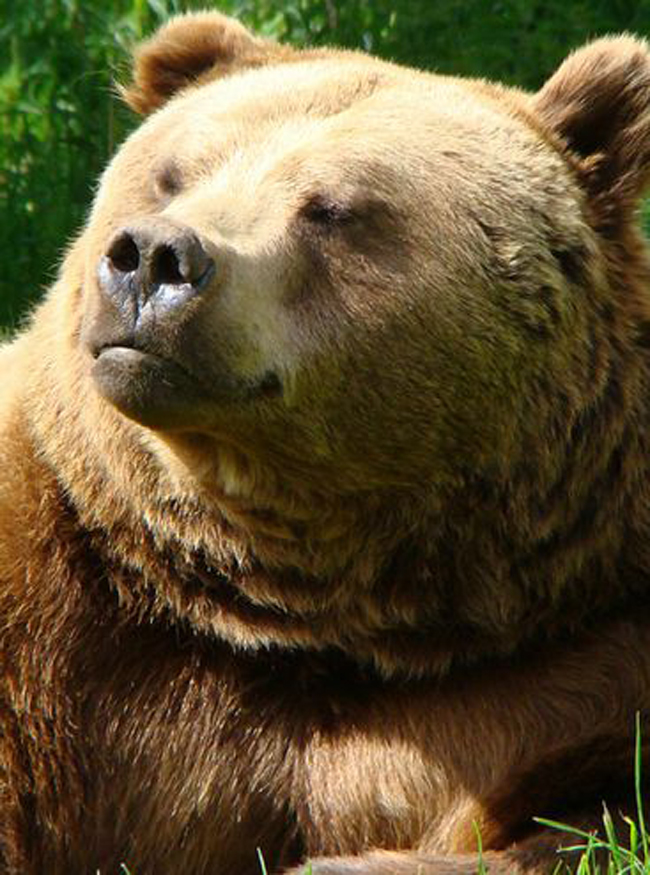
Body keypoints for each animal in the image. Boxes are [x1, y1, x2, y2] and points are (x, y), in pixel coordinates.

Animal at [3, 9, 650, 874]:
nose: (154, 256)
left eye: (333, 208)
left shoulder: (576, 657)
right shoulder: (60, 624)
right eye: (172, 173)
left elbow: (581, 817)